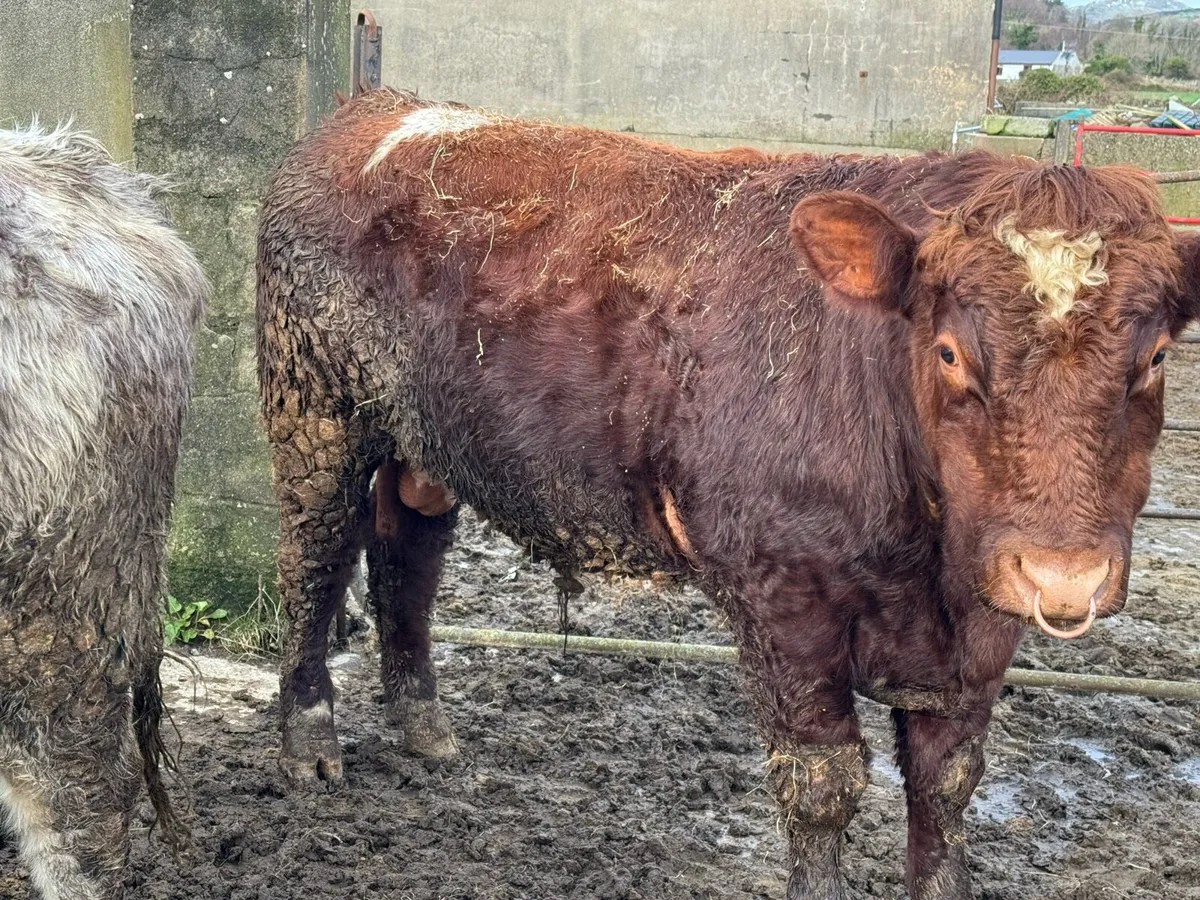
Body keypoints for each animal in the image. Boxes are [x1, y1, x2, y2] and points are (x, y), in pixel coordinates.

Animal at [255, 89, 1200, 899]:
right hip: (315, 412)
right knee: (314, 558)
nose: (1063, 574)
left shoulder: (980, 626)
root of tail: (385, 109)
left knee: (406, 553)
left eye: (1156, 356)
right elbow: (822, 782)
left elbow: (945, 786)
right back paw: (308, 740)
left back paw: (423, 727)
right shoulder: (782, 596)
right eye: (949, 352)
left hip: (423, 443)